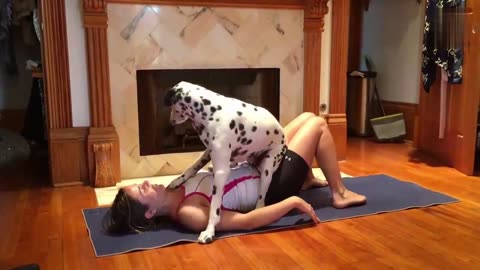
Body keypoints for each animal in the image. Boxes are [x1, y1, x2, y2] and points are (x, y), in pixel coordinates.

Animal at [163, 81, 286, 244]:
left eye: (174, 107)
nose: (171, 121)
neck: (212, 112)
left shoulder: (220, 173)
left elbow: (214, 209)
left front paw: (209, 231)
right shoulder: (209, 152)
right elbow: (192, 168)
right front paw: (177, 181)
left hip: (267, 171)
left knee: (261, 201)